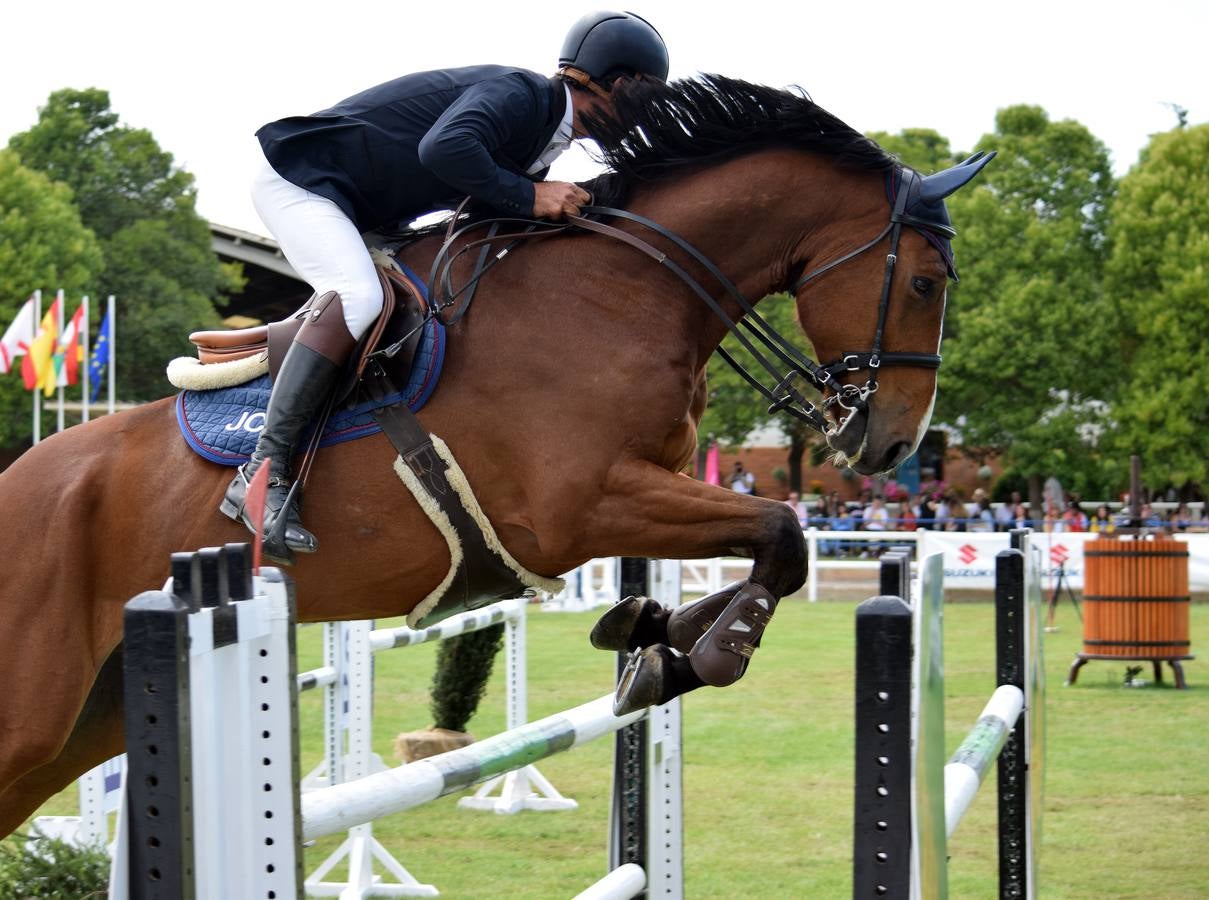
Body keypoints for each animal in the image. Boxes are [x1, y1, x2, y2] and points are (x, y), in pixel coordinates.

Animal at [0, 77, 991, 837]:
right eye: (923, 282)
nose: (893, 439)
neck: (622, 289)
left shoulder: (644, 491)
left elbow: (758, 550)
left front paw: (651, 637)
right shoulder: (581, 508)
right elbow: (781, 531)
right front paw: (706, 652)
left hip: (85, 719)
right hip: (38, 707)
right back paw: (266, 503)